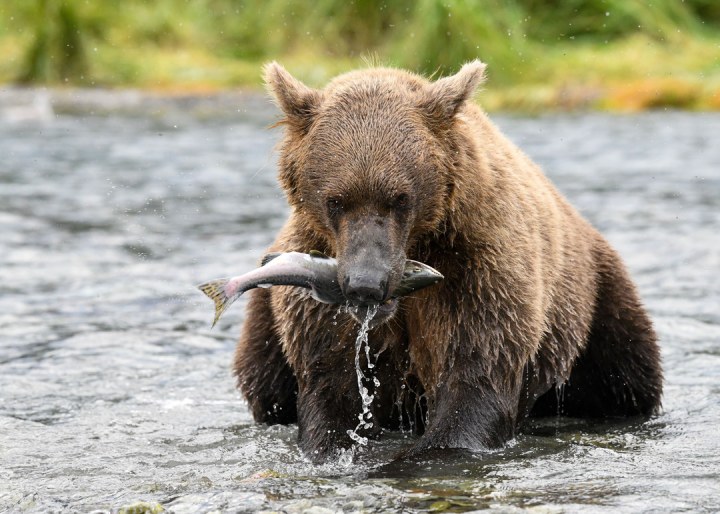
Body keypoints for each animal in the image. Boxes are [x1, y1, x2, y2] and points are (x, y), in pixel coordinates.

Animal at [232, 61, 663, 462]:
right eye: (336, 200)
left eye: (400, 198)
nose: (365, 284)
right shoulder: (316, 295)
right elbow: (330, 383)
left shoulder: (476, 269)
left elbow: (473, 374)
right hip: (265, 320)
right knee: (267, 386)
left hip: (597, 302)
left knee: (626, 377)